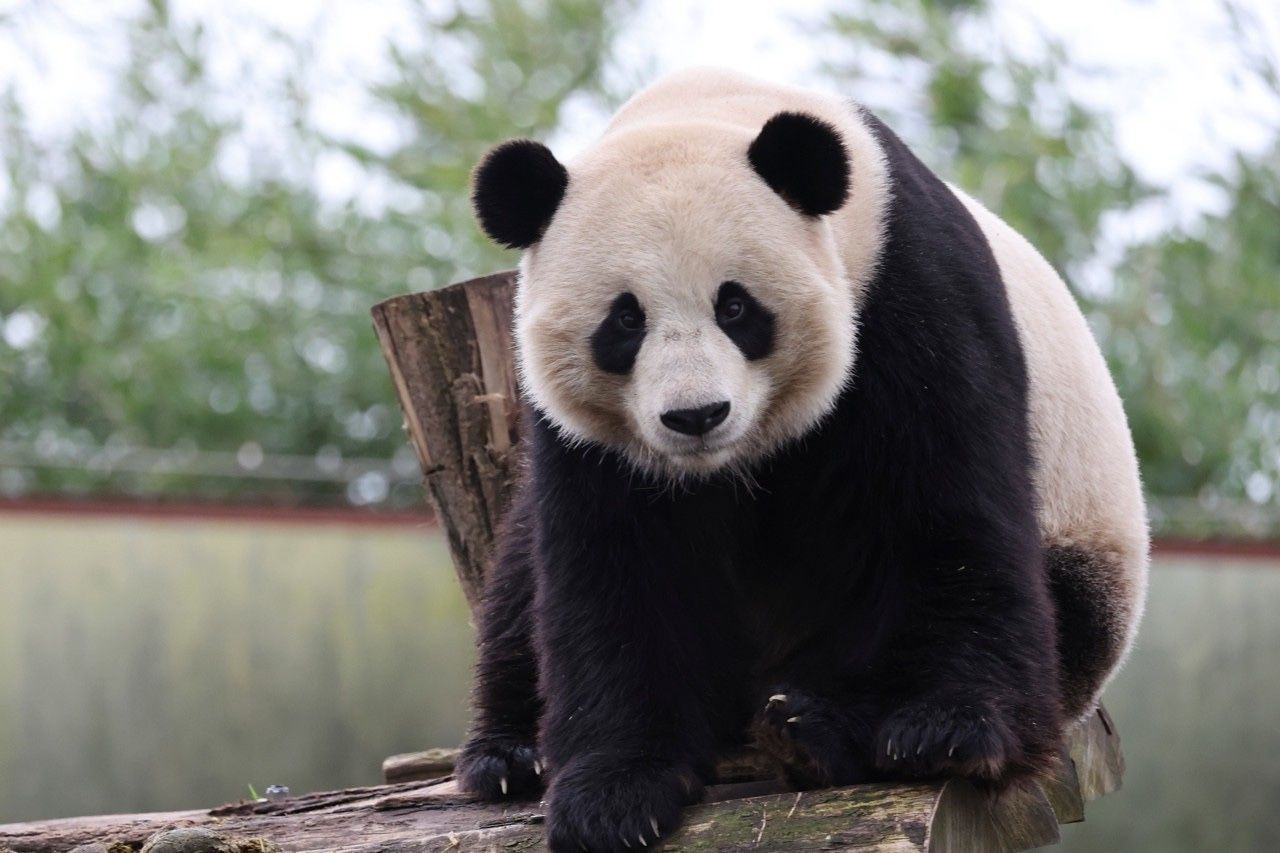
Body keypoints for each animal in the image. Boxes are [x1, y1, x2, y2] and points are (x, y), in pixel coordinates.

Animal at [454, 69, 1148, 852]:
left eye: (734, 306)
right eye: (625, 319)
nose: (696, 416)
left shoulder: (909, 290)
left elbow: (950, 510)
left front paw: (947, 729)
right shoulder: (587, 438)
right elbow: (613, 571)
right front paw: (612, 793)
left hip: (1086, 549)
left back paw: (813, 726)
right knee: (518, 586)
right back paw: (508, 755)